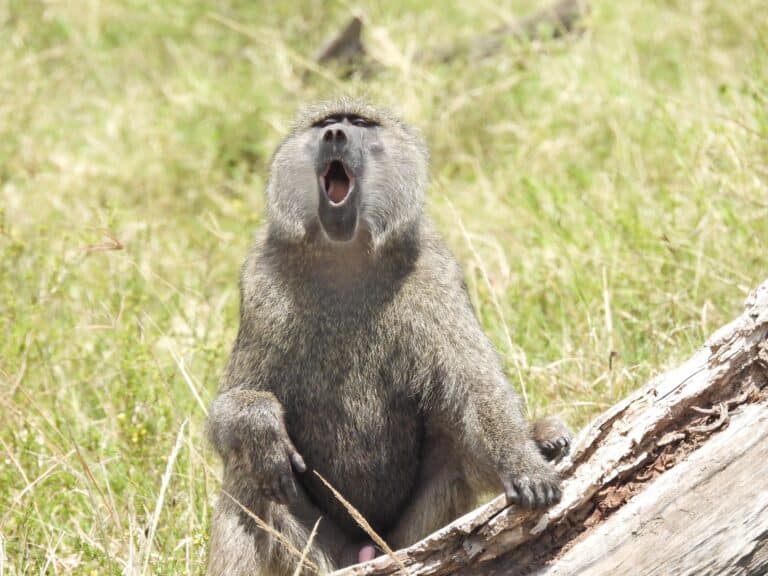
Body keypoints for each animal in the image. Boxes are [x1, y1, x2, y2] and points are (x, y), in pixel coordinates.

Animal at [205, 98, 571, 576]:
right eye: (326, 123)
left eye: (360, 124)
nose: (335, 135)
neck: (345, 256)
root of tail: (369, 548)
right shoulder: (261, 283)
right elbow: (228, 411)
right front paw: (257, 422)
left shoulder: (434, 272)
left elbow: (477, 389)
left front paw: (526, 463)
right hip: (322, 551)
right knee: (249, 476)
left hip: (411, 536)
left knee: (459, 440)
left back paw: (541, 438)